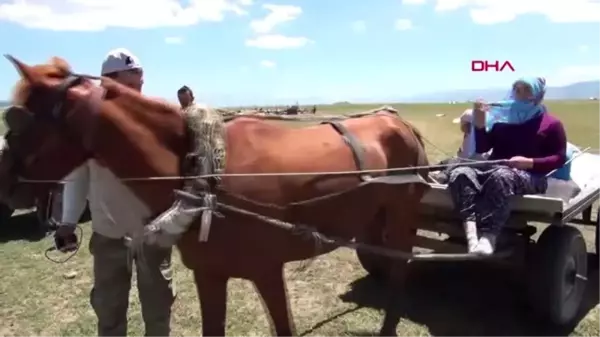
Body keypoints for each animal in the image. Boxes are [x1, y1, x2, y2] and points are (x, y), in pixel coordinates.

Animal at [0, 55, 432, 336]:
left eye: (16, 121)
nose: (6, 186)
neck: (207, 174)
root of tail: (397, 121)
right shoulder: (209, 274)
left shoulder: (266, 270)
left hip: (402, 218)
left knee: (400, 271)